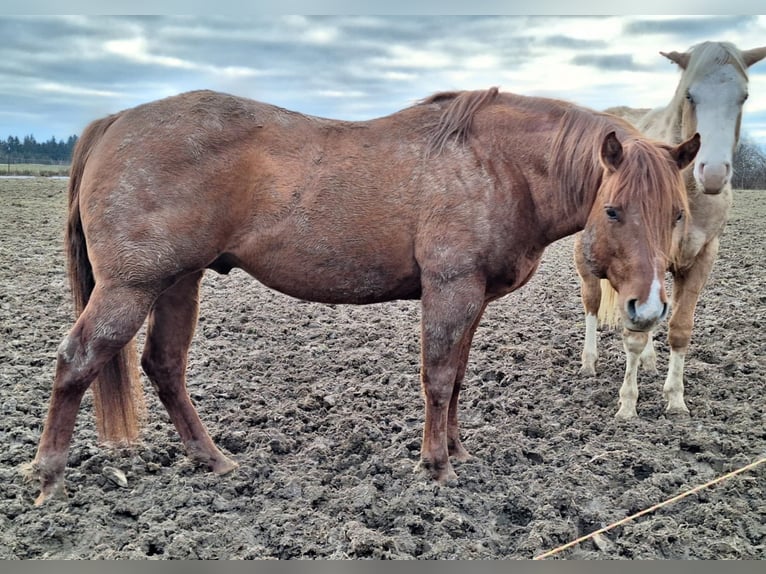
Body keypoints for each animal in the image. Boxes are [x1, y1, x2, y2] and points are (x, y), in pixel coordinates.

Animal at [25, 87, 700, 505]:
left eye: (675, 213)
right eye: (613, 210)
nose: (648, 310)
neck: (495, 165)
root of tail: (116, 122)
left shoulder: (473, 298)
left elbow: (457, 378)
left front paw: (457, 450)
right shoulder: (451, 289)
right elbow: (437, 378)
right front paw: (435, 465)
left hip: (178, 283)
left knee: (163, 366)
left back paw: (212, 461)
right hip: (131, 287)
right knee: (77, 361)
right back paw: (50, 479)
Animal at [575, 41, 766, 419]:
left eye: (744, 96)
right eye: (689, 95)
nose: (713, 173)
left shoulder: (702, 257)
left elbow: (678, 328)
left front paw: (675, 399)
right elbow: (633, 332)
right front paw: (627, 404)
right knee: (592, 302)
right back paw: (589, 361)